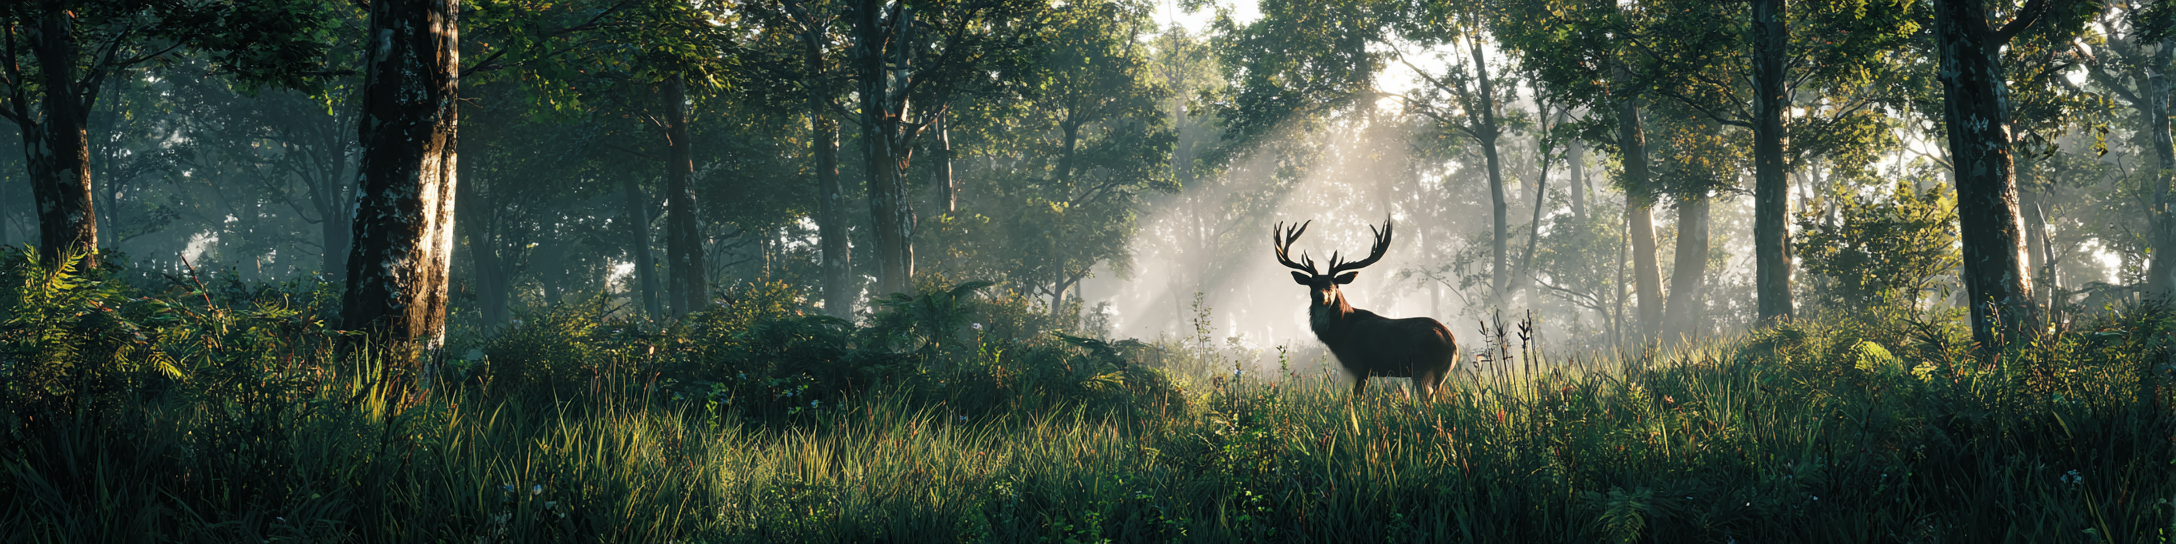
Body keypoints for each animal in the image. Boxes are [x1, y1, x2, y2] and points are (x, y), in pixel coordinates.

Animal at [1273, 218, 1461, 400]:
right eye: (1312, 285)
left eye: (1334, 286)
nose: (1320, 296)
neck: (1341, 332)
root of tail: (1452, 344)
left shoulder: (1361, 363)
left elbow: (1358, 396)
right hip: (1440, 374)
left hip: (1422, 366)